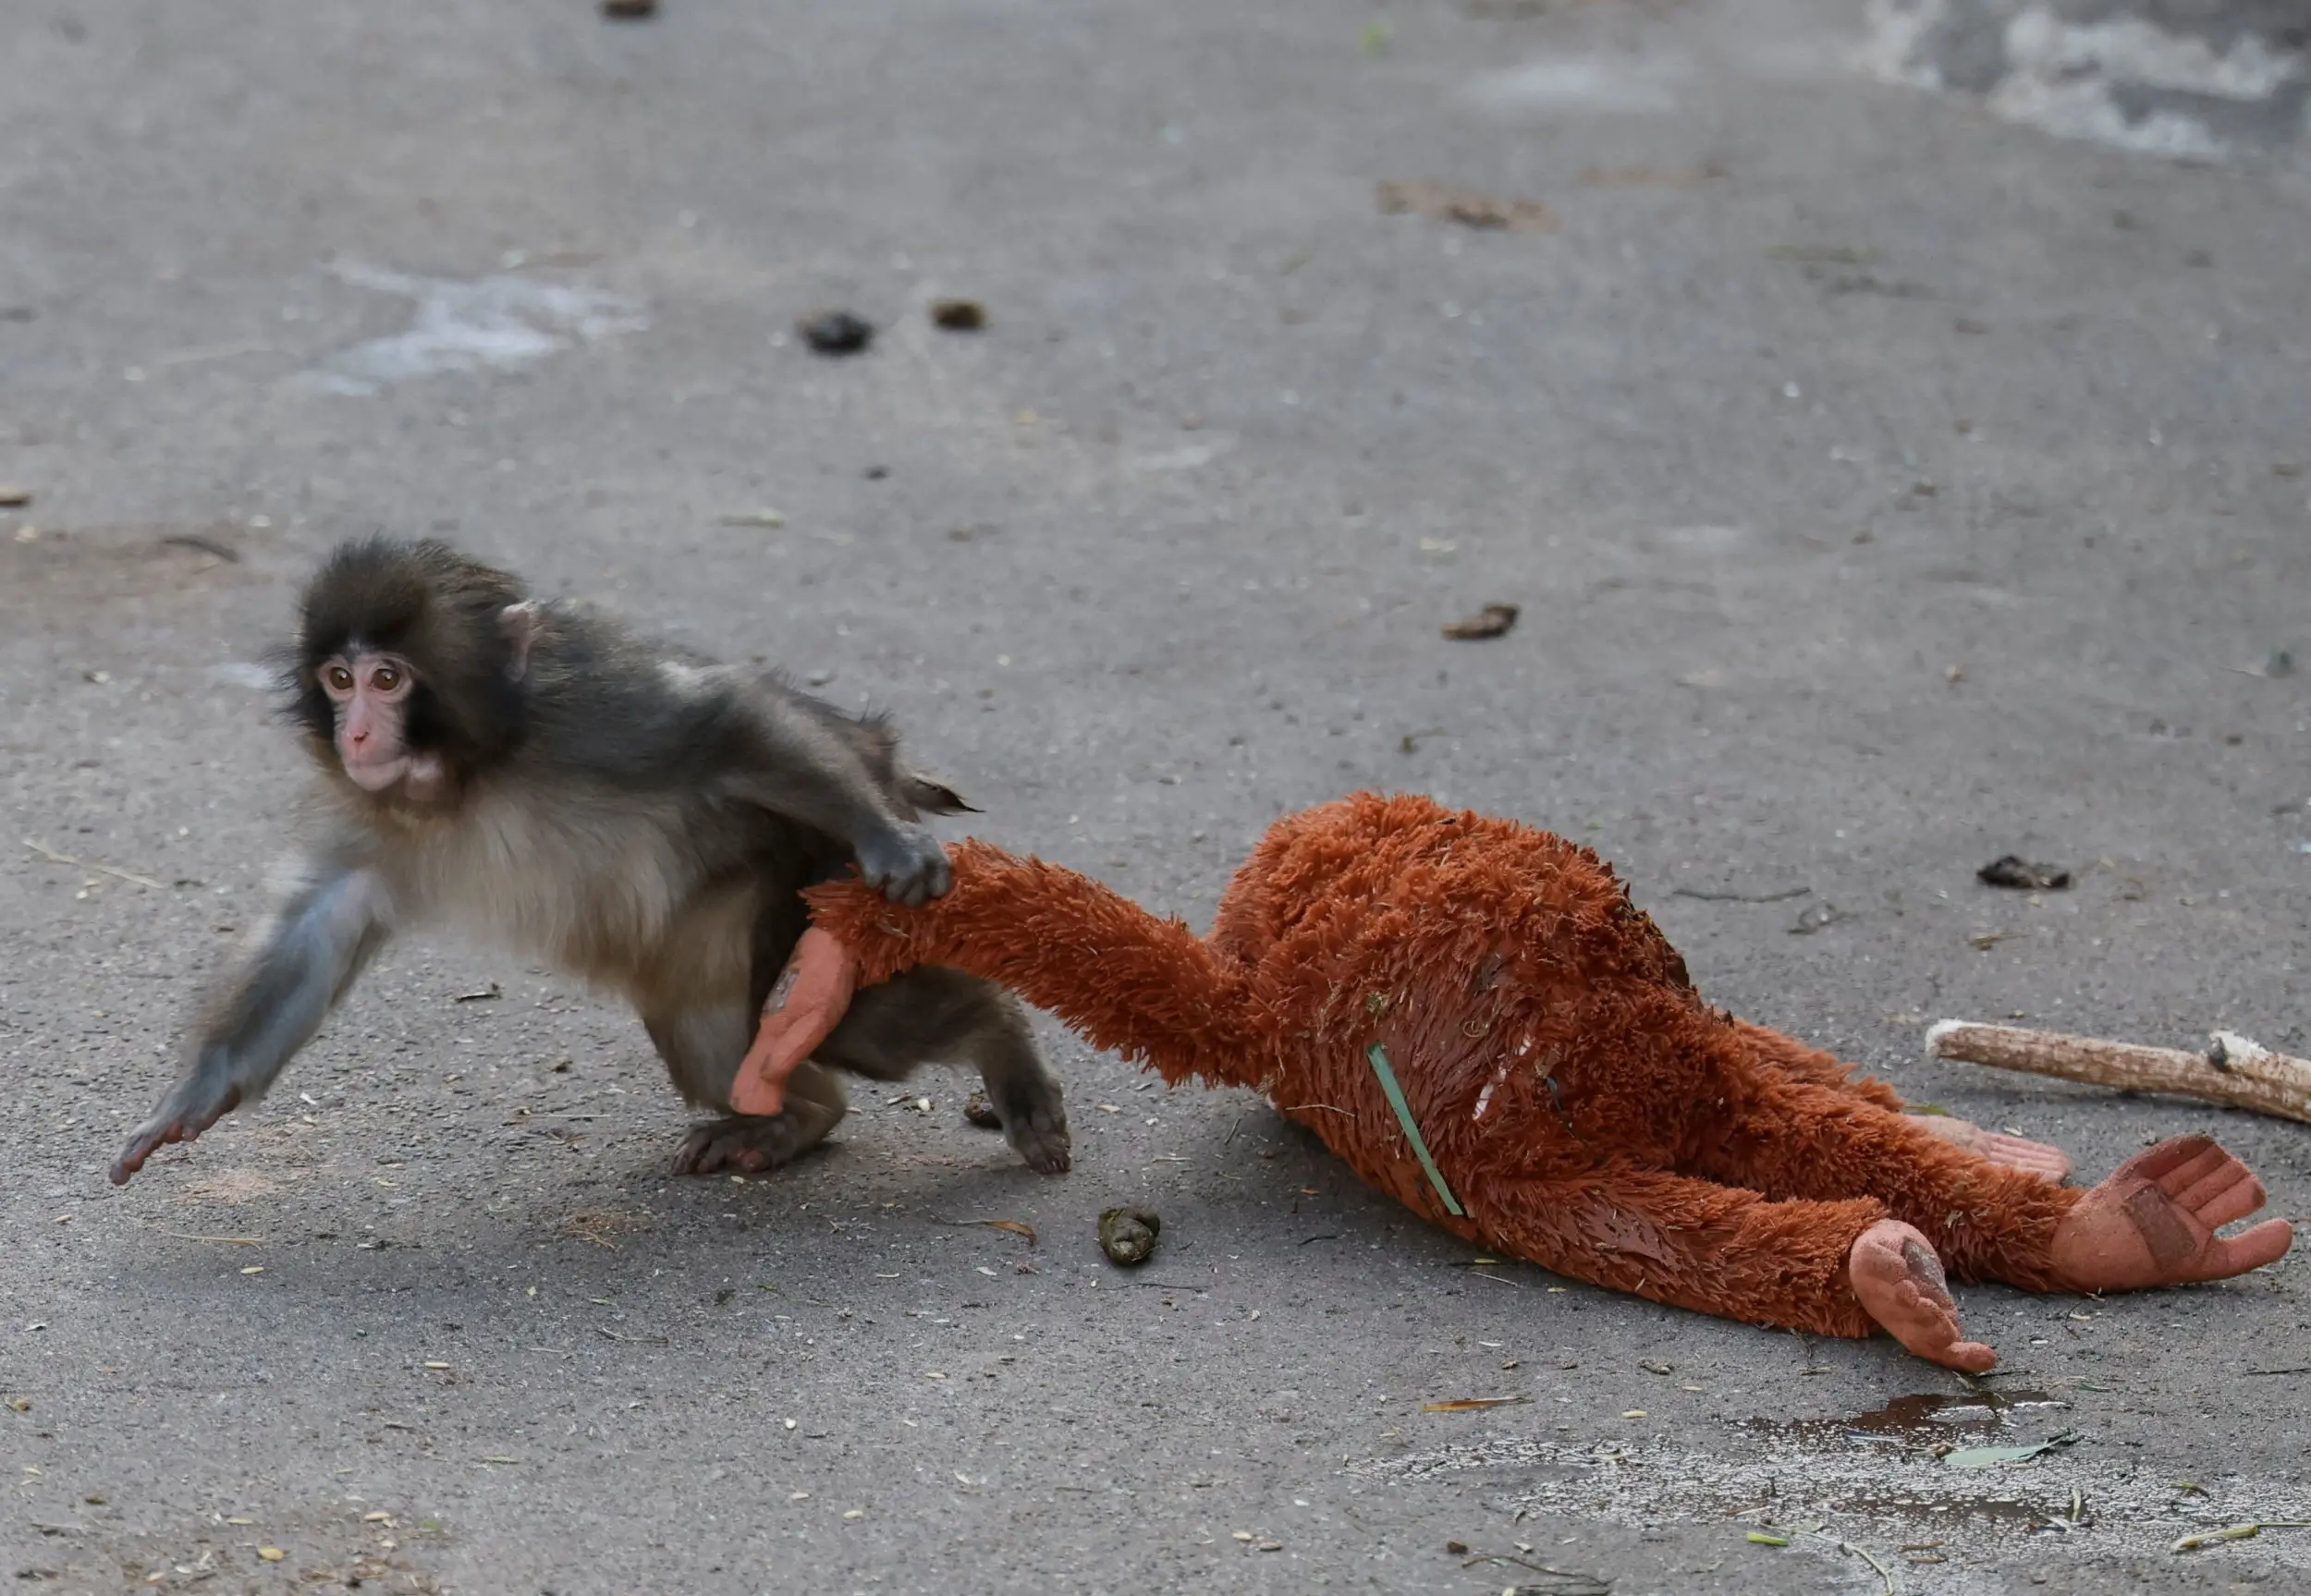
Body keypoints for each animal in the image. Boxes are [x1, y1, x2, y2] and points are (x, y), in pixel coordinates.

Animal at [110, 536, 1070, 1185]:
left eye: (388, 679)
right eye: (338, 681)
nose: (354, 734)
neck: (472, 773)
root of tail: (883, 754)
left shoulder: (592, 714)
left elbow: (719, 722)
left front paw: (893, 841)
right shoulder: (369, 810)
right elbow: (319, 921)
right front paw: (193, 1097)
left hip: (814, 870)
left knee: (873, 1020)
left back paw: (1004, 1048)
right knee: (720, 1046)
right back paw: (795, 1120)